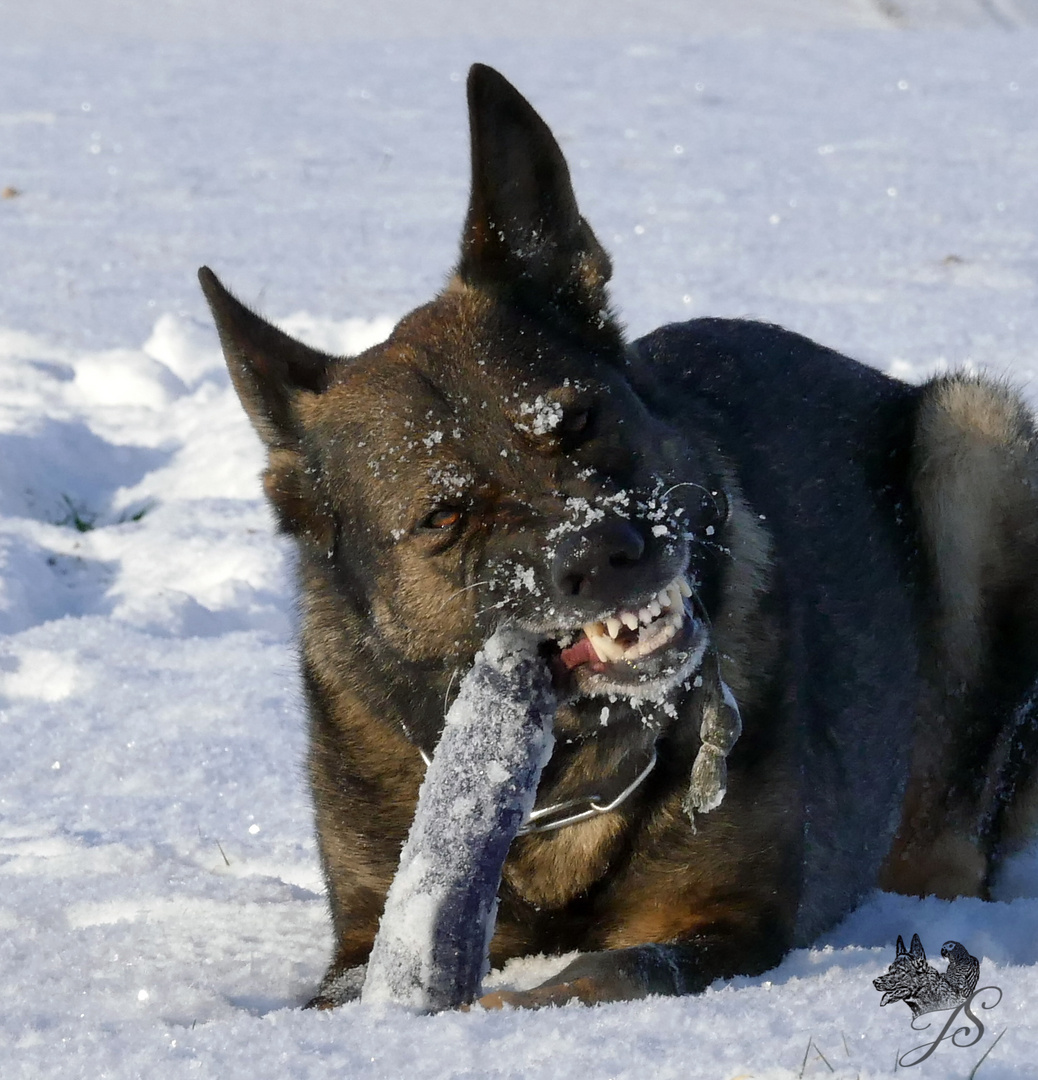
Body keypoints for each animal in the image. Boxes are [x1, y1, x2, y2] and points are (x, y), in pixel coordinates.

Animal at [198, 65, 1036, 1010]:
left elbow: (594, 973)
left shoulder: (721, 926)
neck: (567, 782)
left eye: (575, 421)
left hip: (976, 440)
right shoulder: (357, 940)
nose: (606, 557)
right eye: (444, 517)